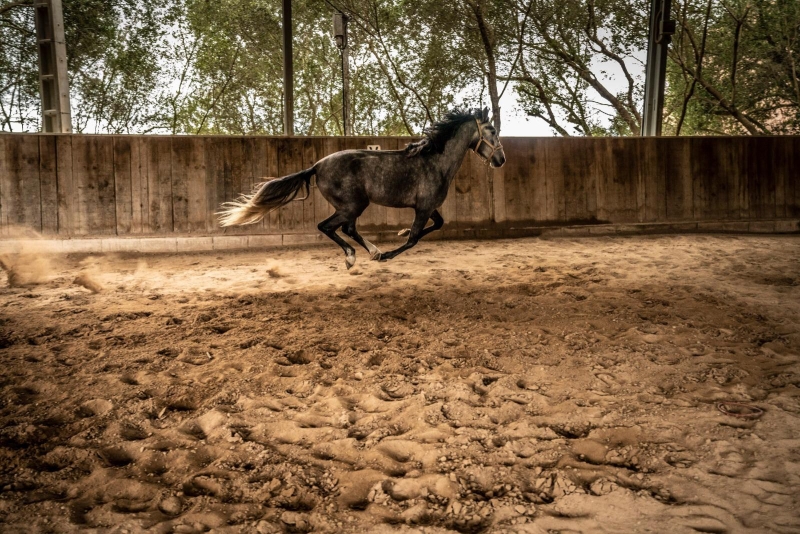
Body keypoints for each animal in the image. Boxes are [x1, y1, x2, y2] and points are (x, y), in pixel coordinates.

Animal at [217, 108, 506, 268]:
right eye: (492, 130)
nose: (501, 160)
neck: (435, 161)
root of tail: (316, 165)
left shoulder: (428, 207)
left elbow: (437, 225)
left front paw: (397, 236)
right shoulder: (423, 208)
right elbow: (414, 239)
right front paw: (389, 253)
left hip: (352, 206)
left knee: (347, 229)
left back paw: (371, 252)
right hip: (353, 205)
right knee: (328, 227)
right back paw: (354, 257)